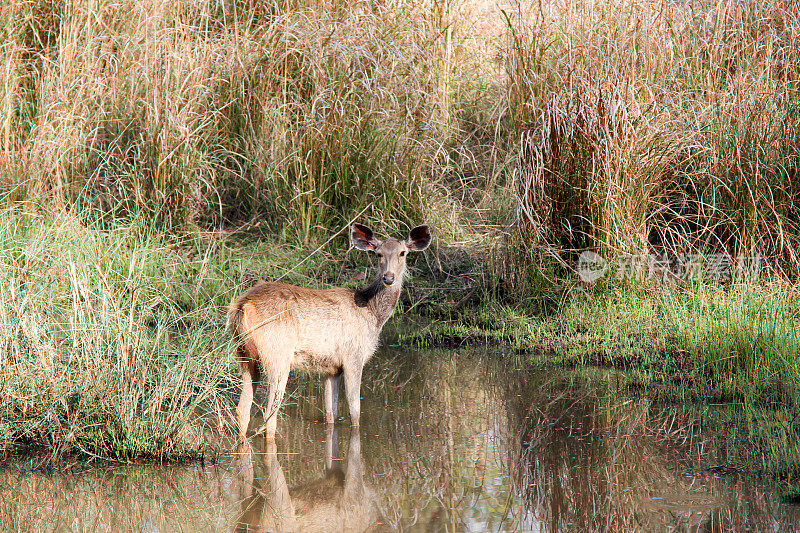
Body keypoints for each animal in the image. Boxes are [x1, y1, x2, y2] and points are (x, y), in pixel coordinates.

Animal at [225, 222, 432, 438]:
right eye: (378, 254)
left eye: (403, 253)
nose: (389, 277)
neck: (372, 314)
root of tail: (243, 305)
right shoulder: (353, 356)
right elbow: (355, 411)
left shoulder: (332, 368)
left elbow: (330, 413)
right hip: (277, 353)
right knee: (269, 415)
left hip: (244, 353)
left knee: (242, 410)